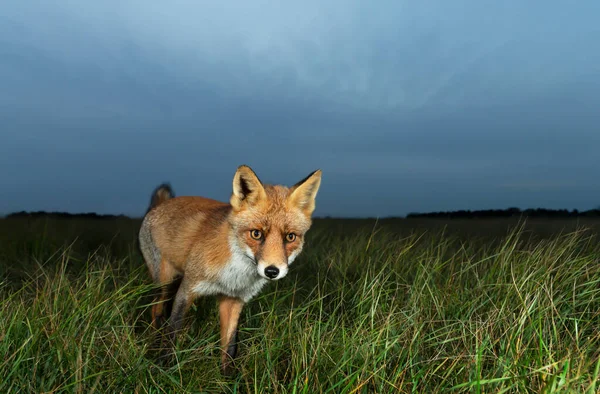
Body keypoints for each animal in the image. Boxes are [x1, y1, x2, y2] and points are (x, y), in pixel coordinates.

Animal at [138, 165, 322, 374]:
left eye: (290, 237)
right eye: (256, 234)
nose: (272, 271)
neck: (233, 276)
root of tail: (159, 206)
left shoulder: (234, 300)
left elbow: (229, 346)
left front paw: (226, 378)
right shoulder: (187, 288)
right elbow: (173, 331)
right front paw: (164, 368)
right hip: (165, 284)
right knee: (156, 311)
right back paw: (154, 342)